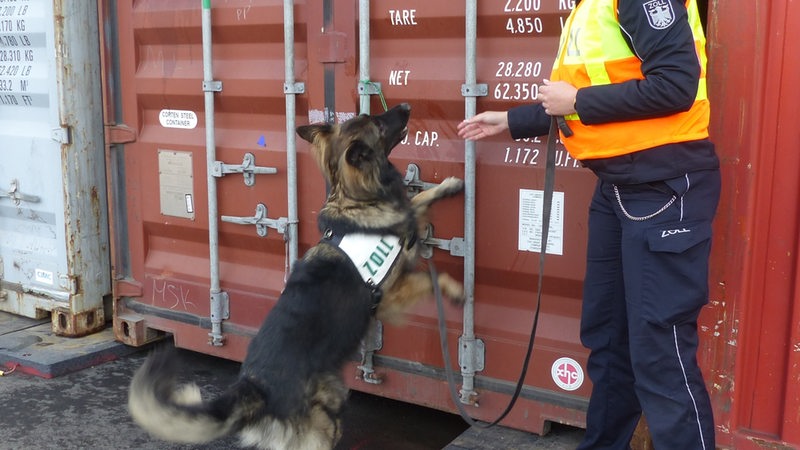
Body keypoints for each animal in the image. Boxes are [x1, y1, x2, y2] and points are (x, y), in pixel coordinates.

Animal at [128, 103, 466, 450]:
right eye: (379, 124)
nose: (407, 106)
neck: (356, 198)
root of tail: (255, 388)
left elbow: (418, 200)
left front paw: (449, 184)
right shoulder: (391, 296)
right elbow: (431, 277)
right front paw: (456, 291)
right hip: (327, 413)